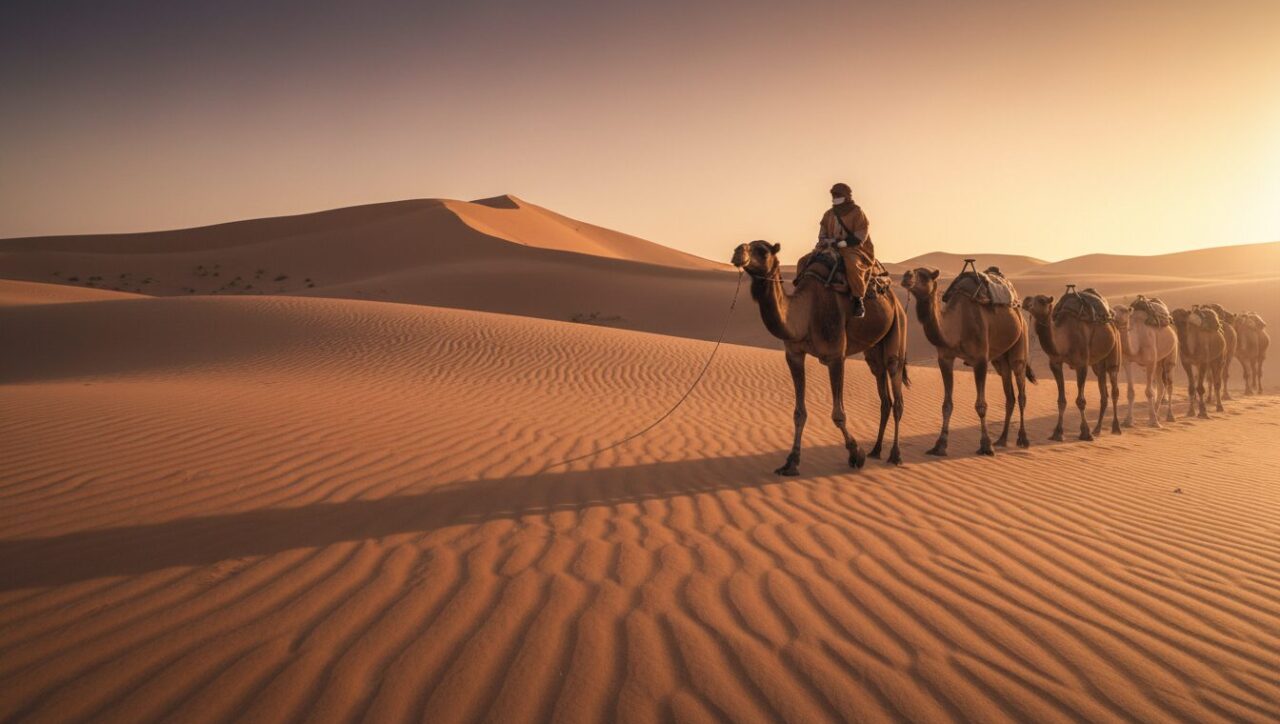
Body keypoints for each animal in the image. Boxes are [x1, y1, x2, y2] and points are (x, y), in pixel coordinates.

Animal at [731, 240, 909, 474]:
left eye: (762, 250)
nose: (737, 253)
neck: (804, 314)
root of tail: (895, 300)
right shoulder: (794, 354)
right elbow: (799, 413)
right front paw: (791, 462)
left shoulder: (835, 355)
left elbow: (838, 415)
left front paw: (856, 454)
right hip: (873, 351)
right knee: (884, 395)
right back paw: (876, 450)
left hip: (898, 328)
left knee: (896, 390)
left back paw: (895, 455)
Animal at [901, 267, 1033, 455]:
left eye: (925, 276)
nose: (906, 276)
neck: (956, 326)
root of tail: (1019, 311)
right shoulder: (945, 359)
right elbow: (946, 405)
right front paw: (939, 445)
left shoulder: (980, 360)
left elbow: (981, 405)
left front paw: (986, 445)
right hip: (1000, 360)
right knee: (1010, 396)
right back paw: (1002, 439)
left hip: (1020, 344)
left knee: (1021, 392)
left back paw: (1023, 439)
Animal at [1023, 292, 1122, 440]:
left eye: (1041, 300)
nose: (1025, 301)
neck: (1065, 339)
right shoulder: (1055, 364)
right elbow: (1061, 400)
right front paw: (1057, 433)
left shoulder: (1081, 365)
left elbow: (1080, 401)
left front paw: (1085, 433)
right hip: (1098, 365)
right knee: (1103, 393)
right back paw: (1097, 429)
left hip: (1114, 353)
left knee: (1114, 388)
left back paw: (1116, 428)